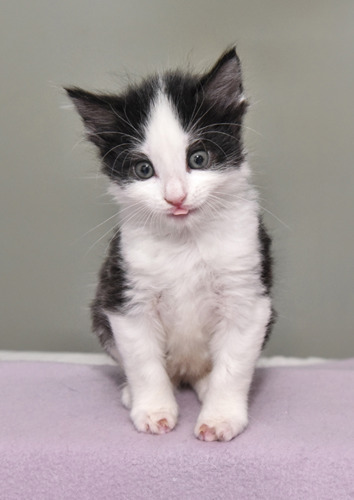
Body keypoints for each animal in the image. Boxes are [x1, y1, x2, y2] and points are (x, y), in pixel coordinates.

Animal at [68, 48, 276, 442]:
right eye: (143, 170)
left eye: (199, 158)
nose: (175, 197)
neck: (185, 242)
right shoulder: (126, 294)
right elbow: (143, 363)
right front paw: (153, 410)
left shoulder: (247, 294)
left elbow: (235, 365)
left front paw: (221, 417)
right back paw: (133, 393)